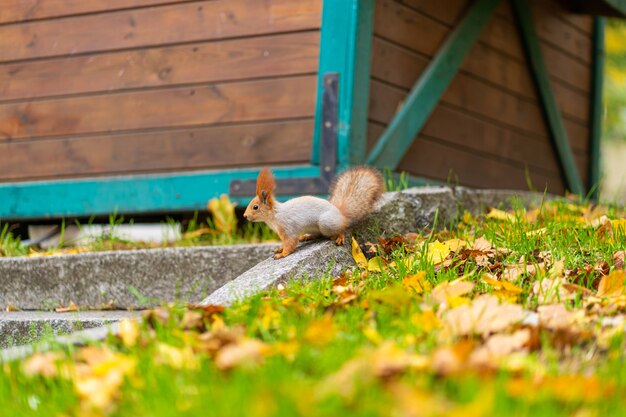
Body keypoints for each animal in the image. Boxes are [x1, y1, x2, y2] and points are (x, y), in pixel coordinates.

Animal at [243, 165, 380, 256]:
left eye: (255, 207)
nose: (244, 216)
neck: (275, 215)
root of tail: (341, 214)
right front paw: (280, 249)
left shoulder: (288, 228)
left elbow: (290, 243)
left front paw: (282, 253)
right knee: (319, 234)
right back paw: (307, 237)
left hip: (326, 223)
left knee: (341, 228)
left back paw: (339, 237)